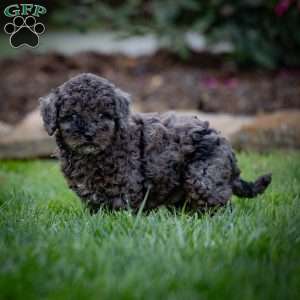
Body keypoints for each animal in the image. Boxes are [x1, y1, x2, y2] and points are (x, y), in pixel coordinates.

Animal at [39, 73, 272, 213]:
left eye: (103, 115)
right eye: (72, 116)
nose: (89, 134)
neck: (93, 155)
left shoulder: (125, 185)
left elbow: (120, 209)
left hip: (203, 176)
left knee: (222, 205)